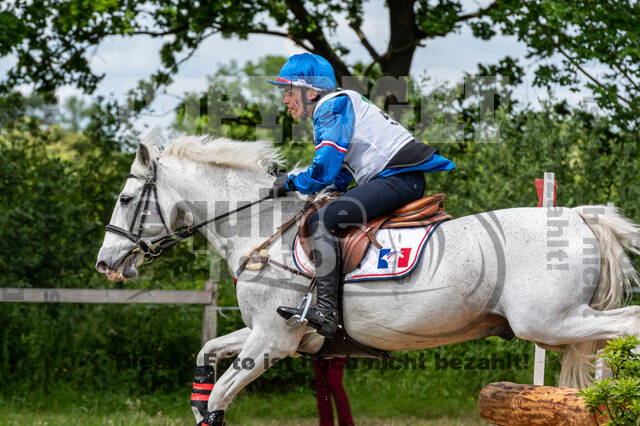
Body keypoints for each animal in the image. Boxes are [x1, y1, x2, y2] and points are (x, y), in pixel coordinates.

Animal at [96, 134, 640, 425]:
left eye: (125, 199)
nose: (105, 263)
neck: (259, 228)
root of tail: (577, 216)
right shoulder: (272, 334)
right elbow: (206, 358)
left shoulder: (271, 341)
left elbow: (219, 397)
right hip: (560, 324)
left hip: (548, 323)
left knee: (627, 325)